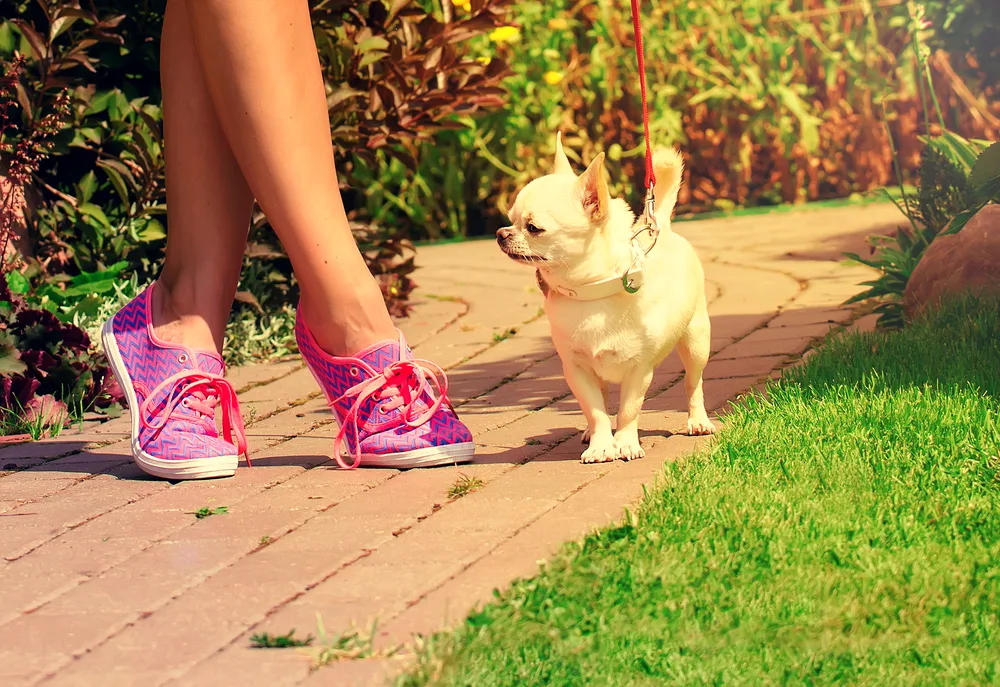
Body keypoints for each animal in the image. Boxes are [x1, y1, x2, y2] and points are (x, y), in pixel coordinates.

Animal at [496, 135, 716, 464]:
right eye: (509, 220)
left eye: (534, 228)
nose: (501, 233)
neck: (592, 292)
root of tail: (660, 226)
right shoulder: (576, 370)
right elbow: (596, 410)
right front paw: (601, 445)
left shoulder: (639, 371)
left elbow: (628, 410)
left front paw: (625, 443)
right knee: (602, 397)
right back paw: (590, 433)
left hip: (696, 341)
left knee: (693, 382)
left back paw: (698, 420)